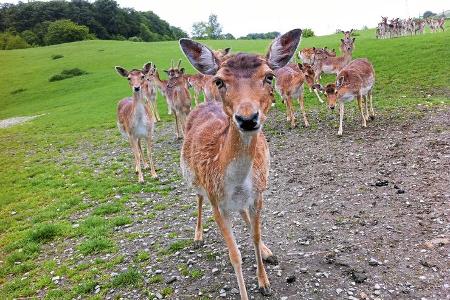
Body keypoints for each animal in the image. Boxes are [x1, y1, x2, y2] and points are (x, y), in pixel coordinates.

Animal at [179, 28, 302, 300]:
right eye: (219, 81)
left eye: (269, 76)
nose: (247, 118)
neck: (235, 183)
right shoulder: (217, 204)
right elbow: (234, 254)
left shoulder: (258, 195)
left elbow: (255, 236)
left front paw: (264, 281)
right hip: (193, 179)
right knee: (198, 198)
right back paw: (197, 236)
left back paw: (268, 252)